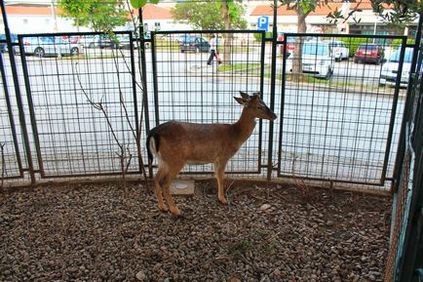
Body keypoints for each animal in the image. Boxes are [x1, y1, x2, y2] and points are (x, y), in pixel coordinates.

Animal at [147, 92, 276, 216]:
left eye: (264, 102)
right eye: (259, 106)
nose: (275, 115)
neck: (235, 135)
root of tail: (154, 132)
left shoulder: (216, 159)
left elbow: (217, 176)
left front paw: (220, 197)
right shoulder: (223, 156)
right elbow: (221, 176)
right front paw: (223, 199)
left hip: (162, 160)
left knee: (156, 178)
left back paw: (163, 207)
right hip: (175, 160)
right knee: (165, 183)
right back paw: (175, 211)